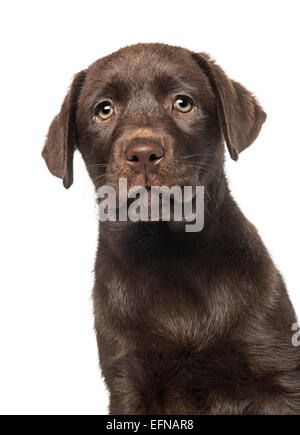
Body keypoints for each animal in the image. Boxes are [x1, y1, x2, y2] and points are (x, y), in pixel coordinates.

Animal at [42, 44, 300, 416]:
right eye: (104, 110)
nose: (143, 154)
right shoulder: (128, 381)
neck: (168, 252)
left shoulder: (276, 372)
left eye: (182, 102)